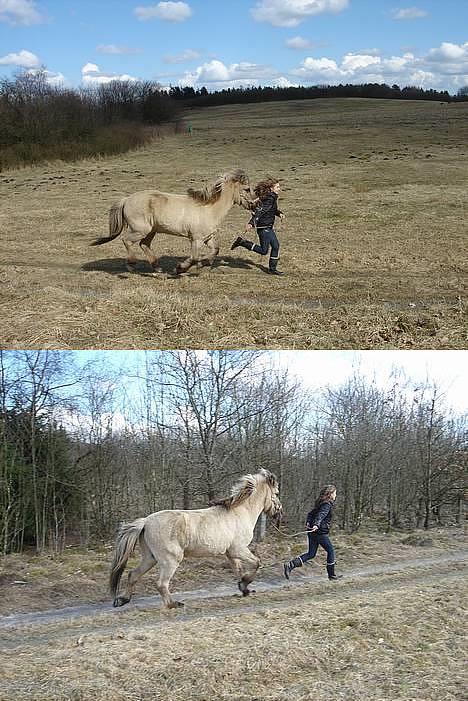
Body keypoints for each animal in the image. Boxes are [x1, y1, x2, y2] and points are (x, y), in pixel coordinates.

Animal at [89, 168, 254, 274]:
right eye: (247, 189)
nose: (256, 204)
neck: (209, 209)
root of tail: (126, 200)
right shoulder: (196, 239)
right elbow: (194, 257)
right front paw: (179, 268)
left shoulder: (208, 238)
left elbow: (215, 251)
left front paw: (202, 264)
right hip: (140, 230)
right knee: (126, 240)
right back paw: (131, 265)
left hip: (151, 231)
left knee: (144, 244)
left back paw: (157, 268)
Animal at [110, 468, 282, 608]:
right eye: (277, 493)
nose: (279, 513)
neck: (240, 512)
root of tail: (145, 521)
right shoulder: (238, 549)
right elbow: (257, 563)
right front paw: (245, 584)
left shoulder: (231, 553)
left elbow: (239, 570)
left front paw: (244, 588)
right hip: (170, 560)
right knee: (161, 584)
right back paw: (174, 604)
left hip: (150, 558)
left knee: (133, 574)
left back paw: (122, 600)